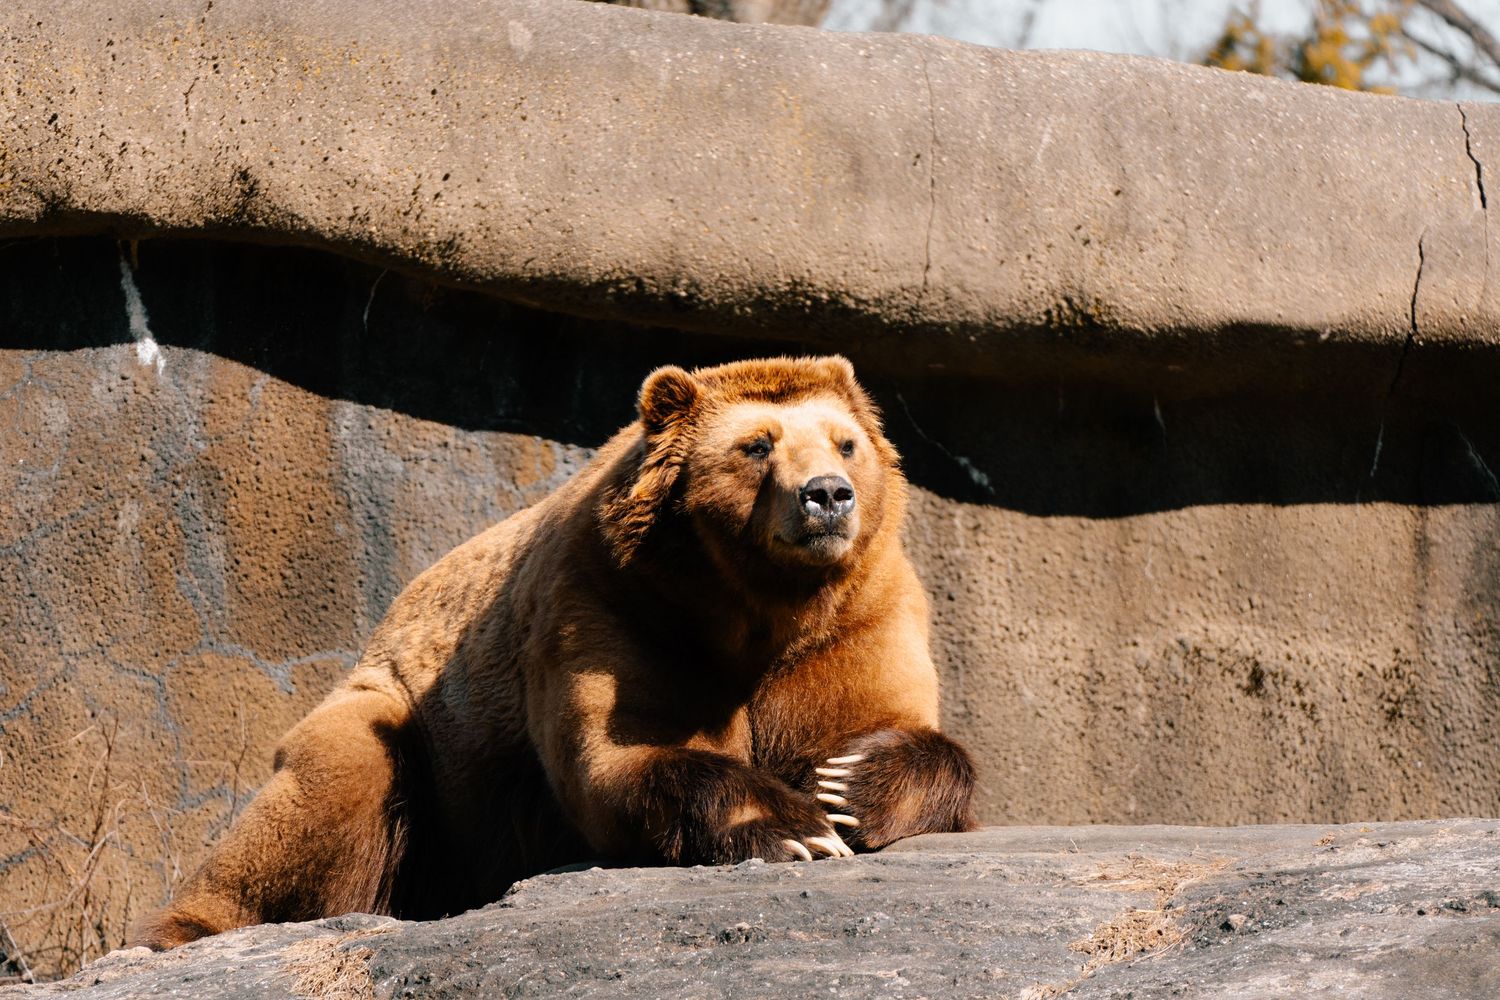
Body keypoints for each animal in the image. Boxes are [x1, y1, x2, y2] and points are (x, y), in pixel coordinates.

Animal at [131, 355, 976, 949]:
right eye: (755, 445)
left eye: (846, 441)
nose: (827, 494)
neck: (753, 605)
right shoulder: (613, 606)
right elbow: (623, 754)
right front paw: (796, 827)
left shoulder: (856, 615)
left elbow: (891, 726)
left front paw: (847, 783)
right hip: (410, 728)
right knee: (339, 773)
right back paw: (183, 930)